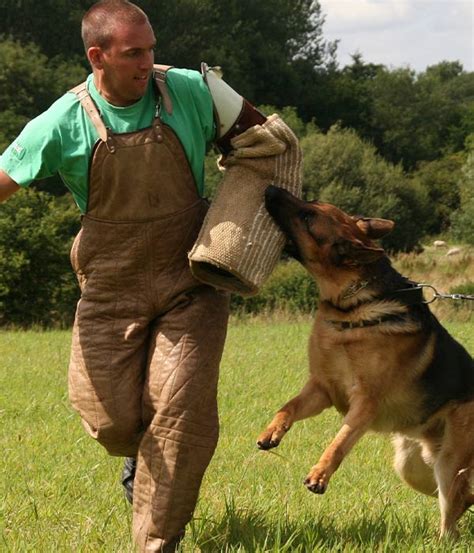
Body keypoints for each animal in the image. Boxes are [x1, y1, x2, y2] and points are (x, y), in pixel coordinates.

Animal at [260, 185, 474, 540]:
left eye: (308, 216)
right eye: (309, 204)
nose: (271, 189)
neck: (352, 303)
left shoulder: (364, 404)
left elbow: (339, 441)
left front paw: (320, 474)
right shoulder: (321, 390)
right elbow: (287, 408)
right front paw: (272, 433)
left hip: (447, 467)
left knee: (452, 515)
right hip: (412, 467)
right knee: (462, 502)